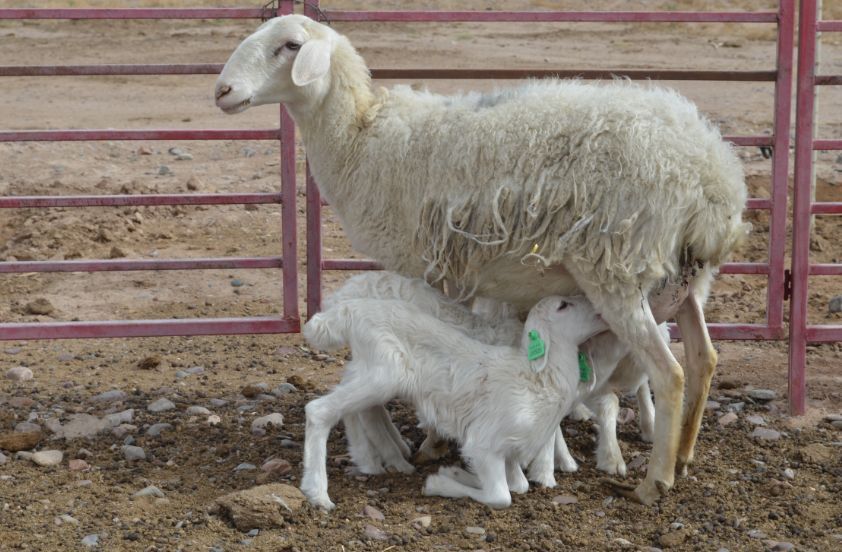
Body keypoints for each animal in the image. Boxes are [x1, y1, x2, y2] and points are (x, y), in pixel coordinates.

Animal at [298, 294, 608, 508]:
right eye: (563, 305)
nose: (600, 311)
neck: (539, 378)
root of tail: (350, 311)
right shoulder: (484, 443)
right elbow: (500, 495)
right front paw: (439, 483)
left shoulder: (509, 450)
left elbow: (518, 485)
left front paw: (456, 472)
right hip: (383, 373)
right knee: (318, 410)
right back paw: (318, 493)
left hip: (368, 371)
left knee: (349, 408)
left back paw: (369, 461)